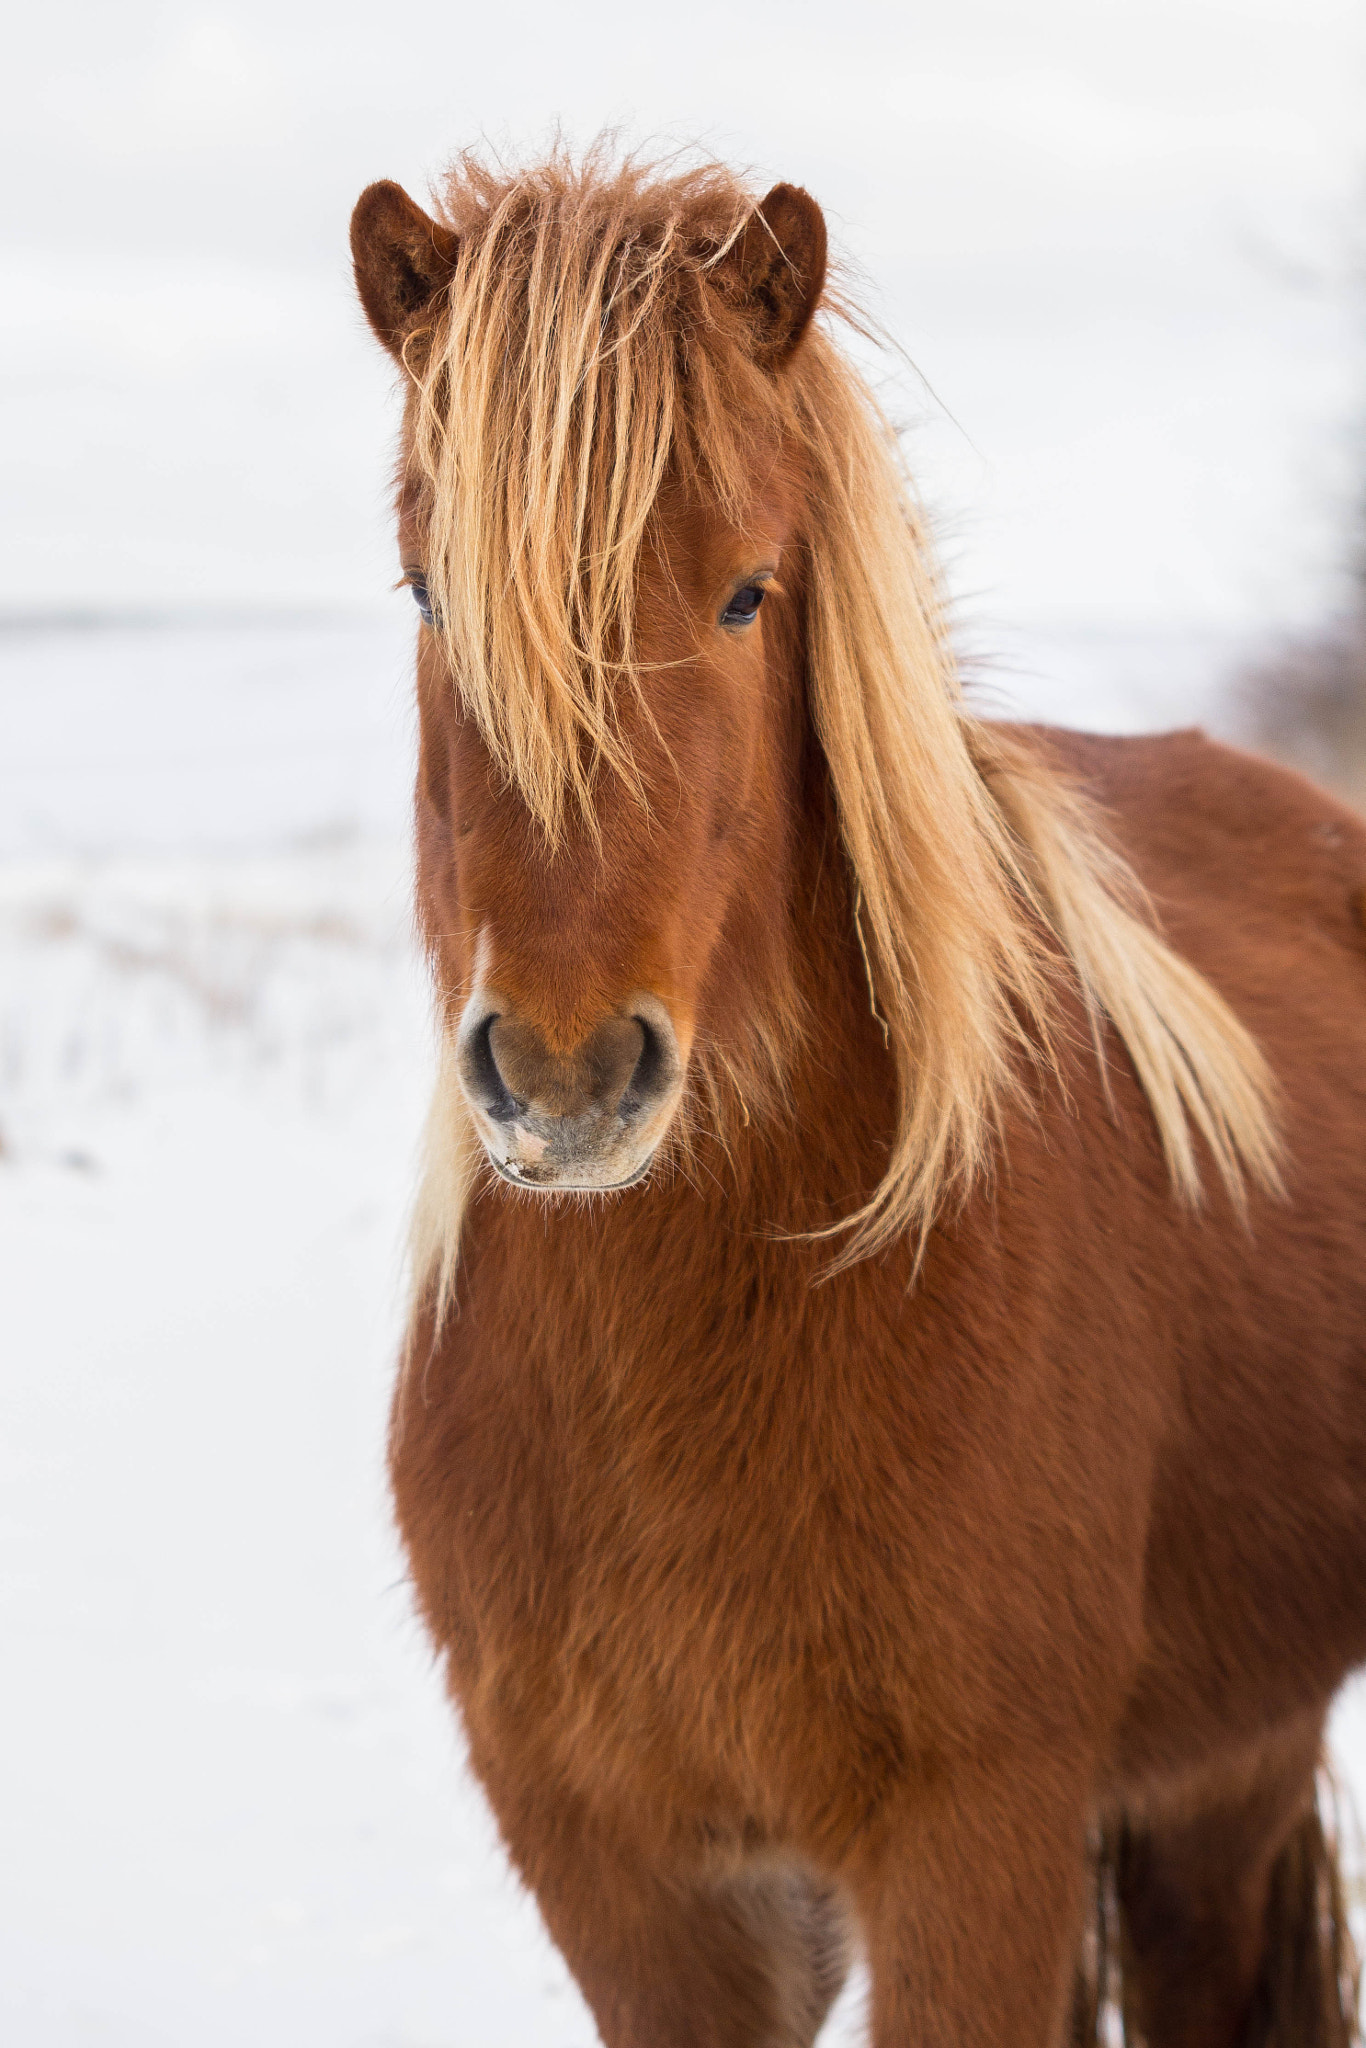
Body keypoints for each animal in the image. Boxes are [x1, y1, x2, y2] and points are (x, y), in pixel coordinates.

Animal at [352, 155, 1366, 2048]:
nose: (566, 1074)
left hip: (1221, 1766)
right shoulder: (631, 1883)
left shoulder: (973, 1845)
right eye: (428, 592)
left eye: (750, 593)